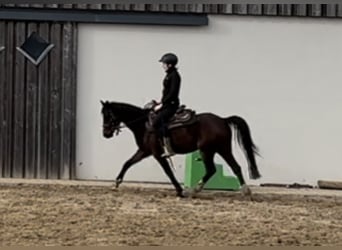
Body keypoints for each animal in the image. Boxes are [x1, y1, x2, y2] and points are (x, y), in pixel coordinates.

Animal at [100, 100, 260, 198]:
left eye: (107, 115)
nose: (105, 134)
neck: (144, 125)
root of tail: (222, 119)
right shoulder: (144, 151)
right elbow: (127, 163)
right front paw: (116, 183)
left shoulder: (157, 154)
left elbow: (168, 172)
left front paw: (179, 190)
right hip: (221, 149)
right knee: (235, 167)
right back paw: (245, 191)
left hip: (208, 150)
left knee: (211, 169)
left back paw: (194, 190)